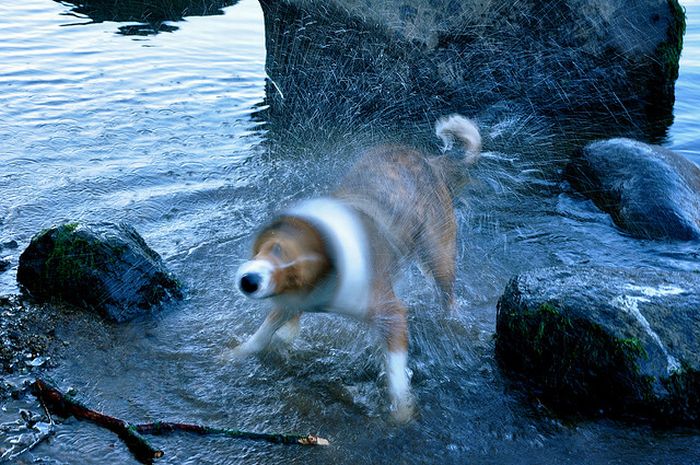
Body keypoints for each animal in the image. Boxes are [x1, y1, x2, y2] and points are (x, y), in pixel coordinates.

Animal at [232, 115, 478, 420]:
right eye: (275, 247)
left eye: (296, 271)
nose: (249, 281)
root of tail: (431, 161)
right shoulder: (290, 299)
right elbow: (262, 335)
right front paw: (235, 355)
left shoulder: (391, 313)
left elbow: (396, 376)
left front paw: (401, 412)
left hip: (438, 254)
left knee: (447, 295)